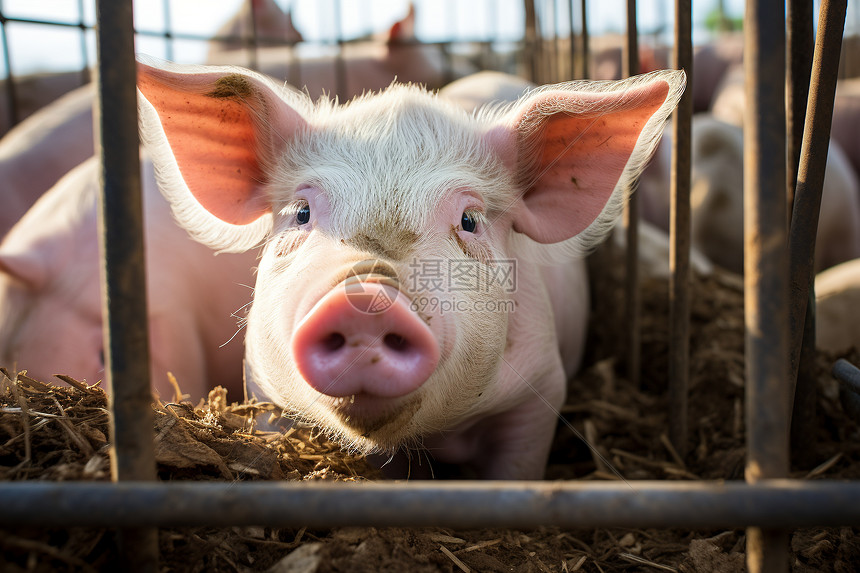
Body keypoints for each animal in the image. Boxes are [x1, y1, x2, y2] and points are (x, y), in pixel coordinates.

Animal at [136, 58, 684, 478]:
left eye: (470, 220)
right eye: (302, 213)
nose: (367, 297)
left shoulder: (542, 386)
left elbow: (516, 468)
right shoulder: (265, 393)